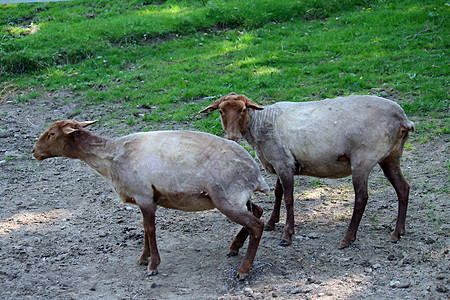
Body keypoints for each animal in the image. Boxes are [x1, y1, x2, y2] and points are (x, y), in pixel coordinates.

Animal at [33, 119, 270, 278]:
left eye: (52, 134)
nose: (34, 151)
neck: (110, 157)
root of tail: (256, 173)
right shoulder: (144, 198)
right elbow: (144, 229)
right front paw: (143, 259)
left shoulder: (144, 196)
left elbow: (149, 229)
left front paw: (152, 266)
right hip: (236, 197)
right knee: (257, 212)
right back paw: (235, 247)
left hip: (226, 197)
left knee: (256, 225)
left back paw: (244, 269)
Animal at [201, 93, 414, 248]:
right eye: (221, 111)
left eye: (243, 109)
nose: (232, 137)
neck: (260, 124)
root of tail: (403, 119)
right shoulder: (281, 161)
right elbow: (278, 193)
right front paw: (271, 223)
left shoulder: (283, 163)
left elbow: (288, 198)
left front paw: (287, 235)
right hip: (391, 156)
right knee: (403, 188)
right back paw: (398, 233)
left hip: (363, 159)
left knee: (362, 198)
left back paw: (348, 238)